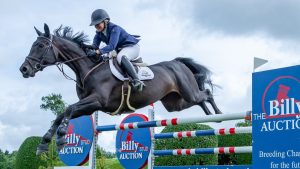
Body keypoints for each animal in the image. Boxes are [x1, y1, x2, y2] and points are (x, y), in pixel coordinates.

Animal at [18, 23, 220, 154]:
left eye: (41, 45)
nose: (24, 69)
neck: (87, 68)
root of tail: (177, 63)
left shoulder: (97, 101)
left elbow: (68, 109)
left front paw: (60, 138)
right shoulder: (89, 106)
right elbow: (62, 113)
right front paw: (44, 143)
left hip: (188, 92)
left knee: (206, 94)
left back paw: (217, 115)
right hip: (174, 103)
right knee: (200, 99)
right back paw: (210, 115)